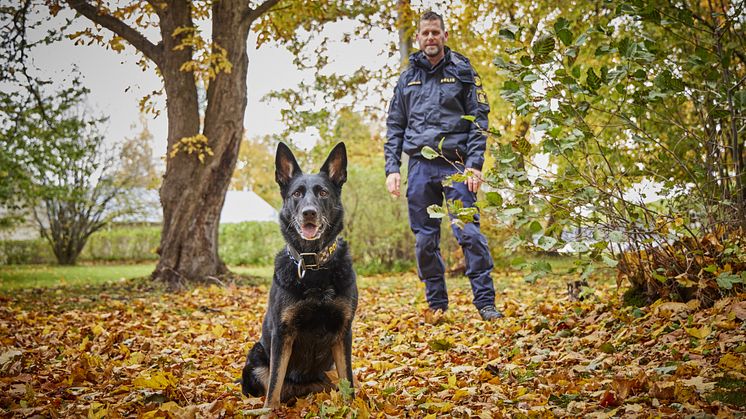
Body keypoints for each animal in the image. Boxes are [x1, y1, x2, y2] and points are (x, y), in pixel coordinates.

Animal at [238, 142, 354, 410]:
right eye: (297, 194)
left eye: (323, 193)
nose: (308, 213)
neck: (312, 266)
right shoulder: (282, 335)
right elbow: (273, 386)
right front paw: (268, 412)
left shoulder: (343, 332)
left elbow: (349, 383)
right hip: (256, 357)